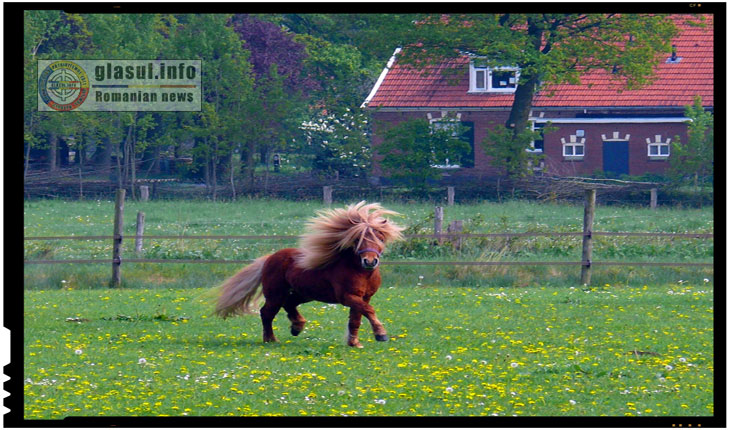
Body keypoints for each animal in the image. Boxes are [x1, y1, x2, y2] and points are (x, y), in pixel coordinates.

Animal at [213, 201, 404, 346]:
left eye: (380, 237)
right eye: (358, 238)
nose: (369, 261)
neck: (361, 272)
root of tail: (270, 258)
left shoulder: (364, 297)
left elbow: (356, 318)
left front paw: (354, 343)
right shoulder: (348, 296)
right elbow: (369, 311)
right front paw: (381, 334)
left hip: (304, 293)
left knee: (288, 304)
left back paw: (297, 327)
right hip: (276, 294)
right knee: (267, 312)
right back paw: (271, 339)